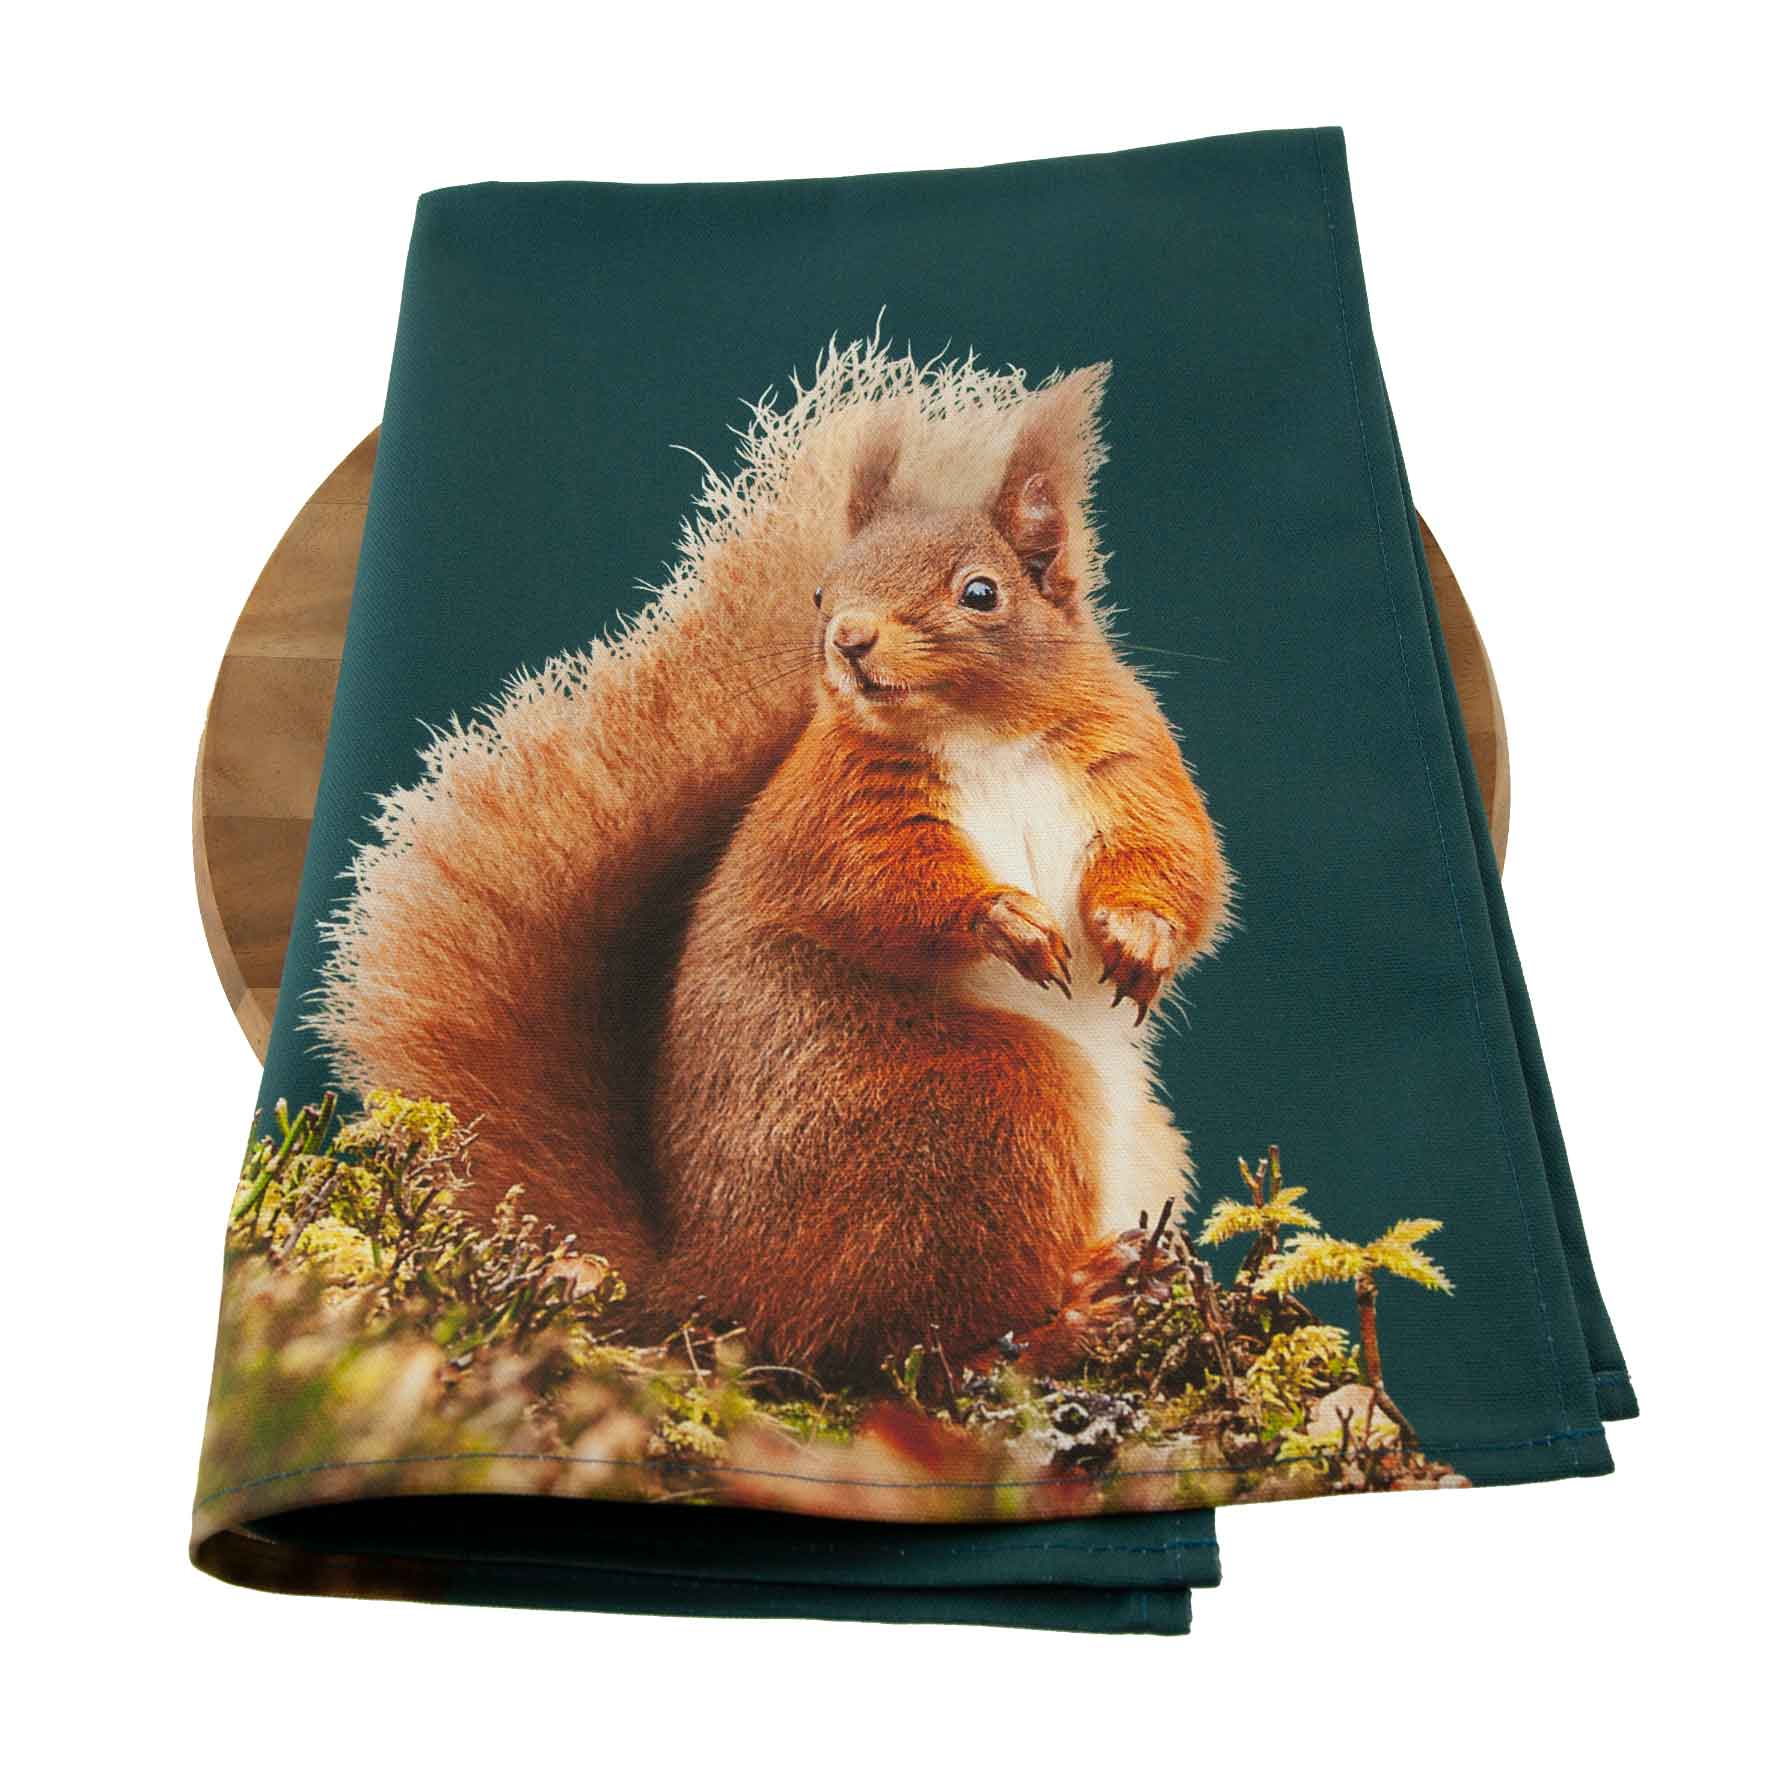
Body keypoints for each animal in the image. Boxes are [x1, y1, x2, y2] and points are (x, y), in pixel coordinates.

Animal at [311, 337, 1229, 1381]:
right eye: (824, 589)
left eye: (981, 592)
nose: (849, 639)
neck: (981, 731)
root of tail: (714, 1282)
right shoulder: (836, 812)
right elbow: (880, 887)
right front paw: (1002, 915)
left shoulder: (1131, 764)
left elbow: (1179, 862)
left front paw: (1141, 934)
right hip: (978, 1115)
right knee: (920, 1342)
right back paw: (1069, 1317)